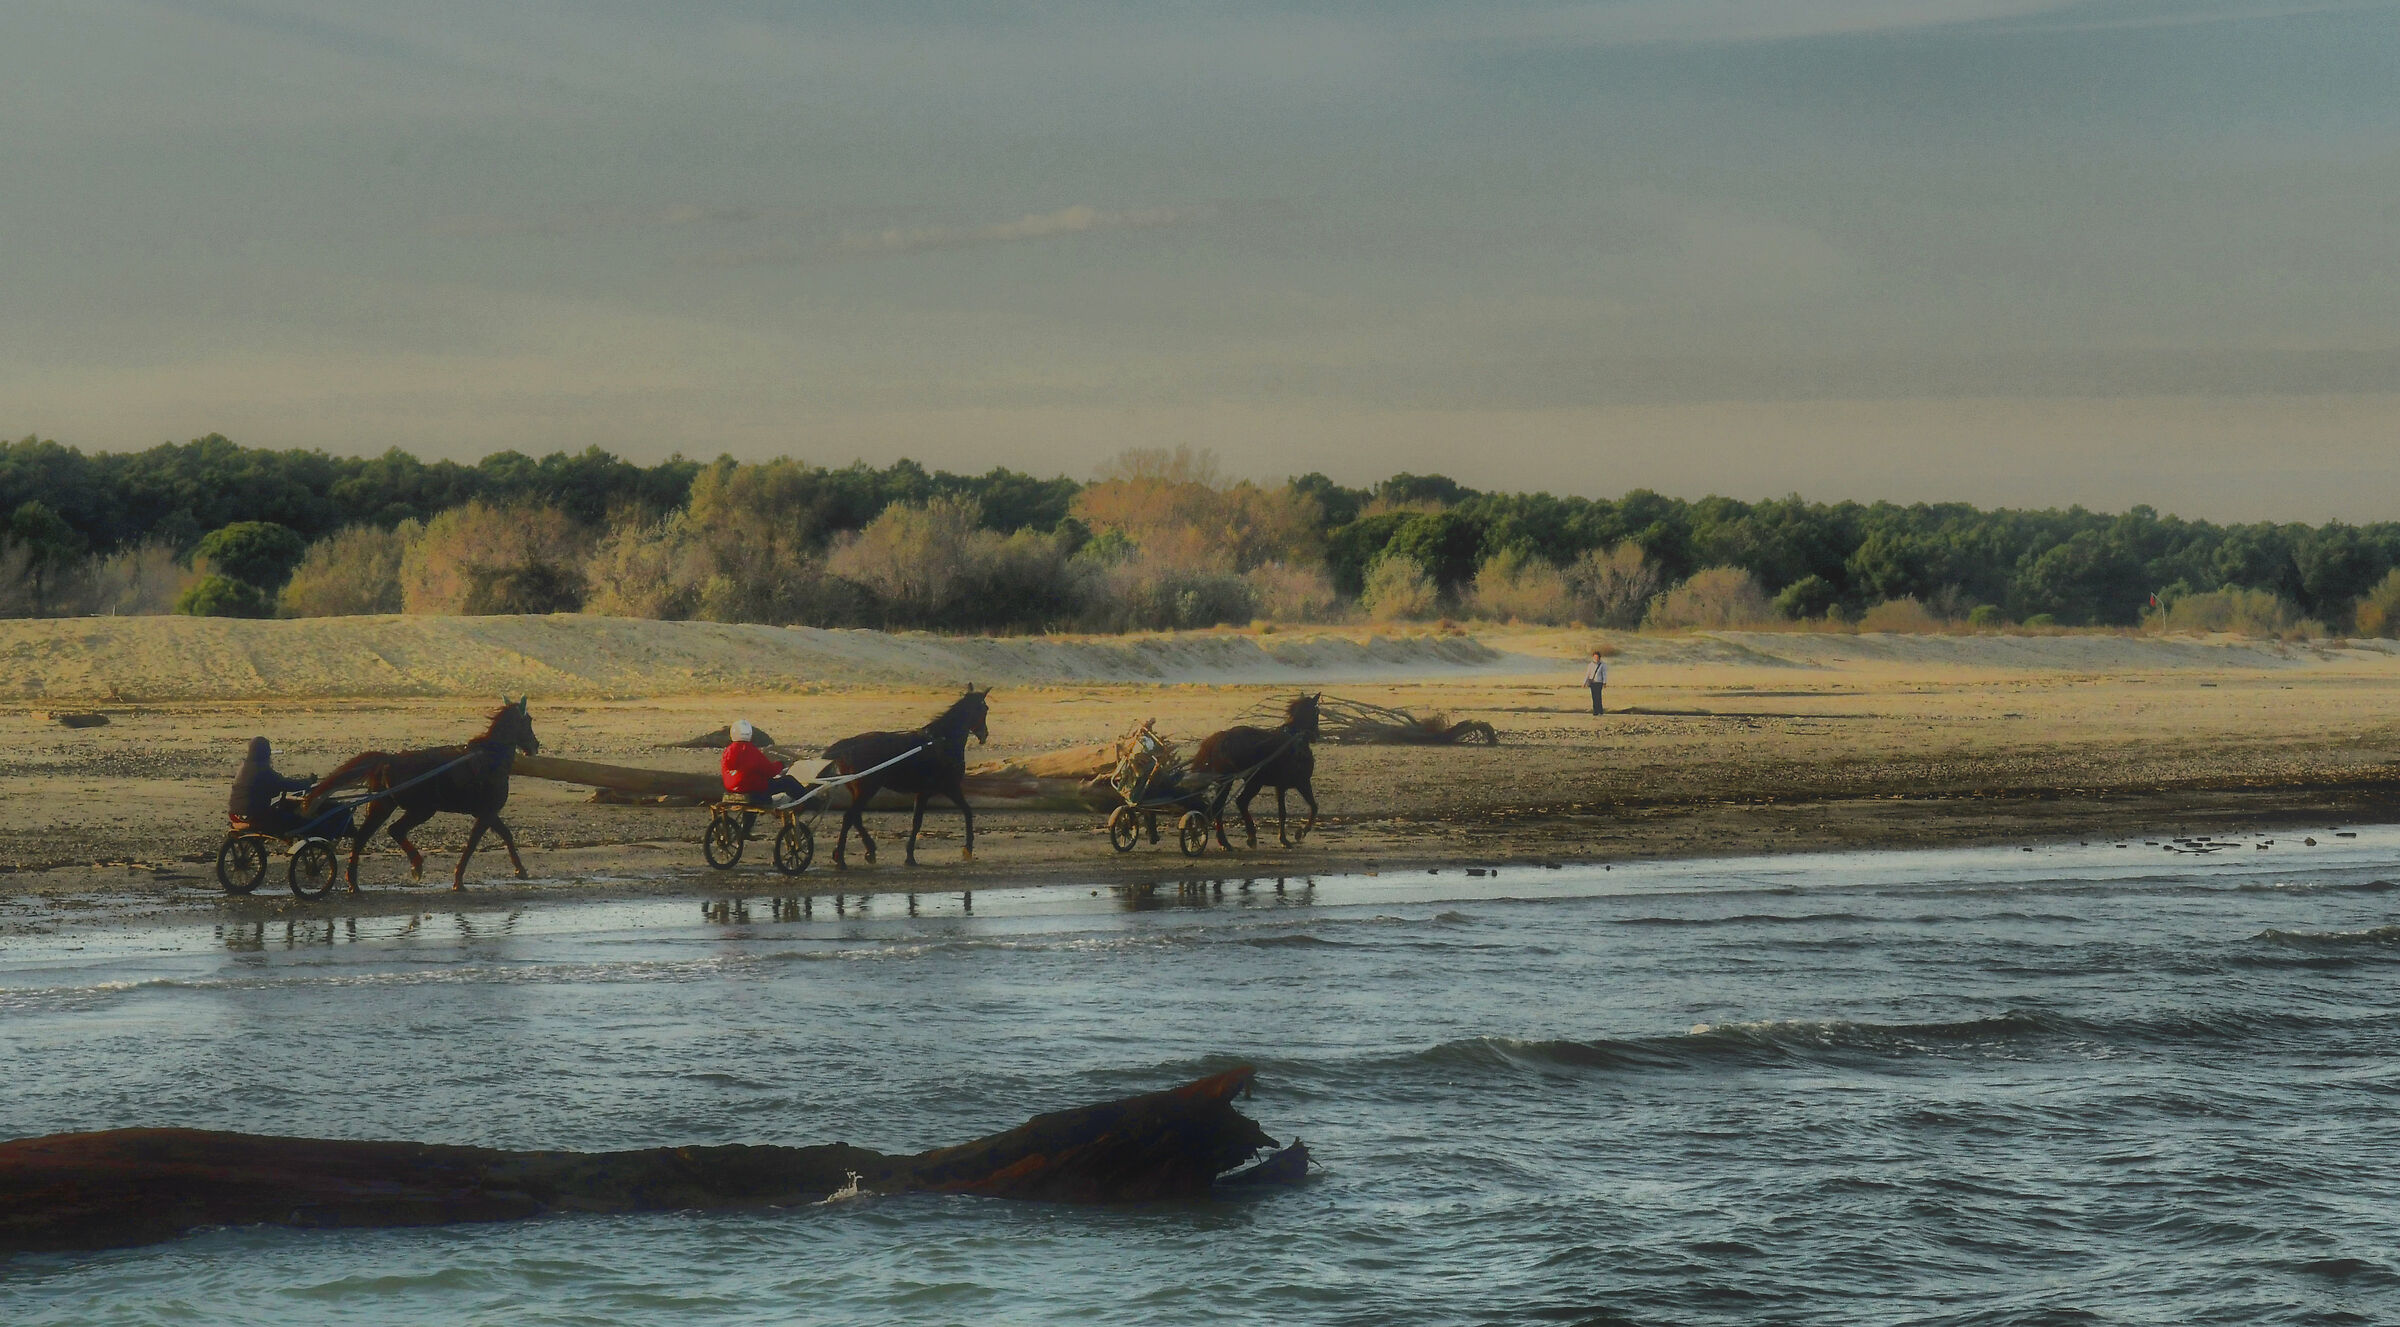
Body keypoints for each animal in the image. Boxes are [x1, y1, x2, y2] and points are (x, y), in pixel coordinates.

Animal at [306, 698, 540, 891]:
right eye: (528, 721)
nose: (535, 745)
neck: (490, 760)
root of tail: (388, 760)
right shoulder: (486, 812)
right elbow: (476, 844)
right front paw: (460, 880)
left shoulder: (485, 813)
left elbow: (503, 835)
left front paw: (519, 870)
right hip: (421, 809)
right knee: (390, 831)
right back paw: (409, 867)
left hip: (386, 805)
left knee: (371, 835)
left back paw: (359, 881)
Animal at [822, 686, 989, 868]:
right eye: (985, 709)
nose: (984, 734)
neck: (941, 742)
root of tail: (847, 747)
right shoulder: (946, 788)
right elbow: (961, 813)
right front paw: (967, 849)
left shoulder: (932, 791)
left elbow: (928, 819)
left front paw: (910, 855)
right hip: (867, 789)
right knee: (849, 817)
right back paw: (841, 859)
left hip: (859, 790)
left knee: (856, 818)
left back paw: (867, 850)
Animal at [1191, 692, 1320, 849]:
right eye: (1317, 712)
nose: (1316, 735)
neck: (1295, 739)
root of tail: (1223, 737)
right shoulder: (1302, 782)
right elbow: (1312, 807)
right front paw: (1300, 832)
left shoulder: (1282, 786)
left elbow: (1284, 812)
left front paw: (1285, 838)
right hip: (1250, 782)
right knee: (1238, 802)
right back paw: (1247, 837)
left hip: (1231, 782)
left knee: (1221, 806)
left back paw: (1227, 841)